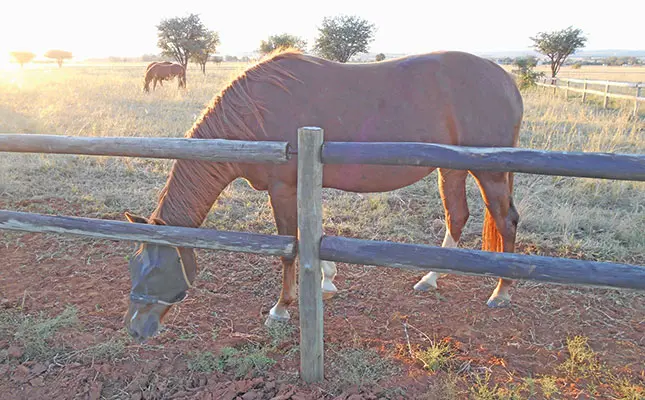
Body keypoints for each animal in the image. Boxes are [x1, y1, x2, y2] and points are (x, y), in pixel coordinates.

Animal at [124, 48, 523, 341]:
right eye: (134, 265)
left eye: (157, 269)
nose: (136, 328)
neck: (254, 114)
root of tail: (506, 80)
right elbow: (310, 234)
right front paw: (327, 278)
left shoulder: (283, 190)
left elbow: (289, 246)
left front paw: (281, 308)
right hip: (451, 168)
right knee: (457, 215)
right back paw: (430, 279)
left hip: (491, 173)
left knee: (505, 220)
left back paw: (502, 292)